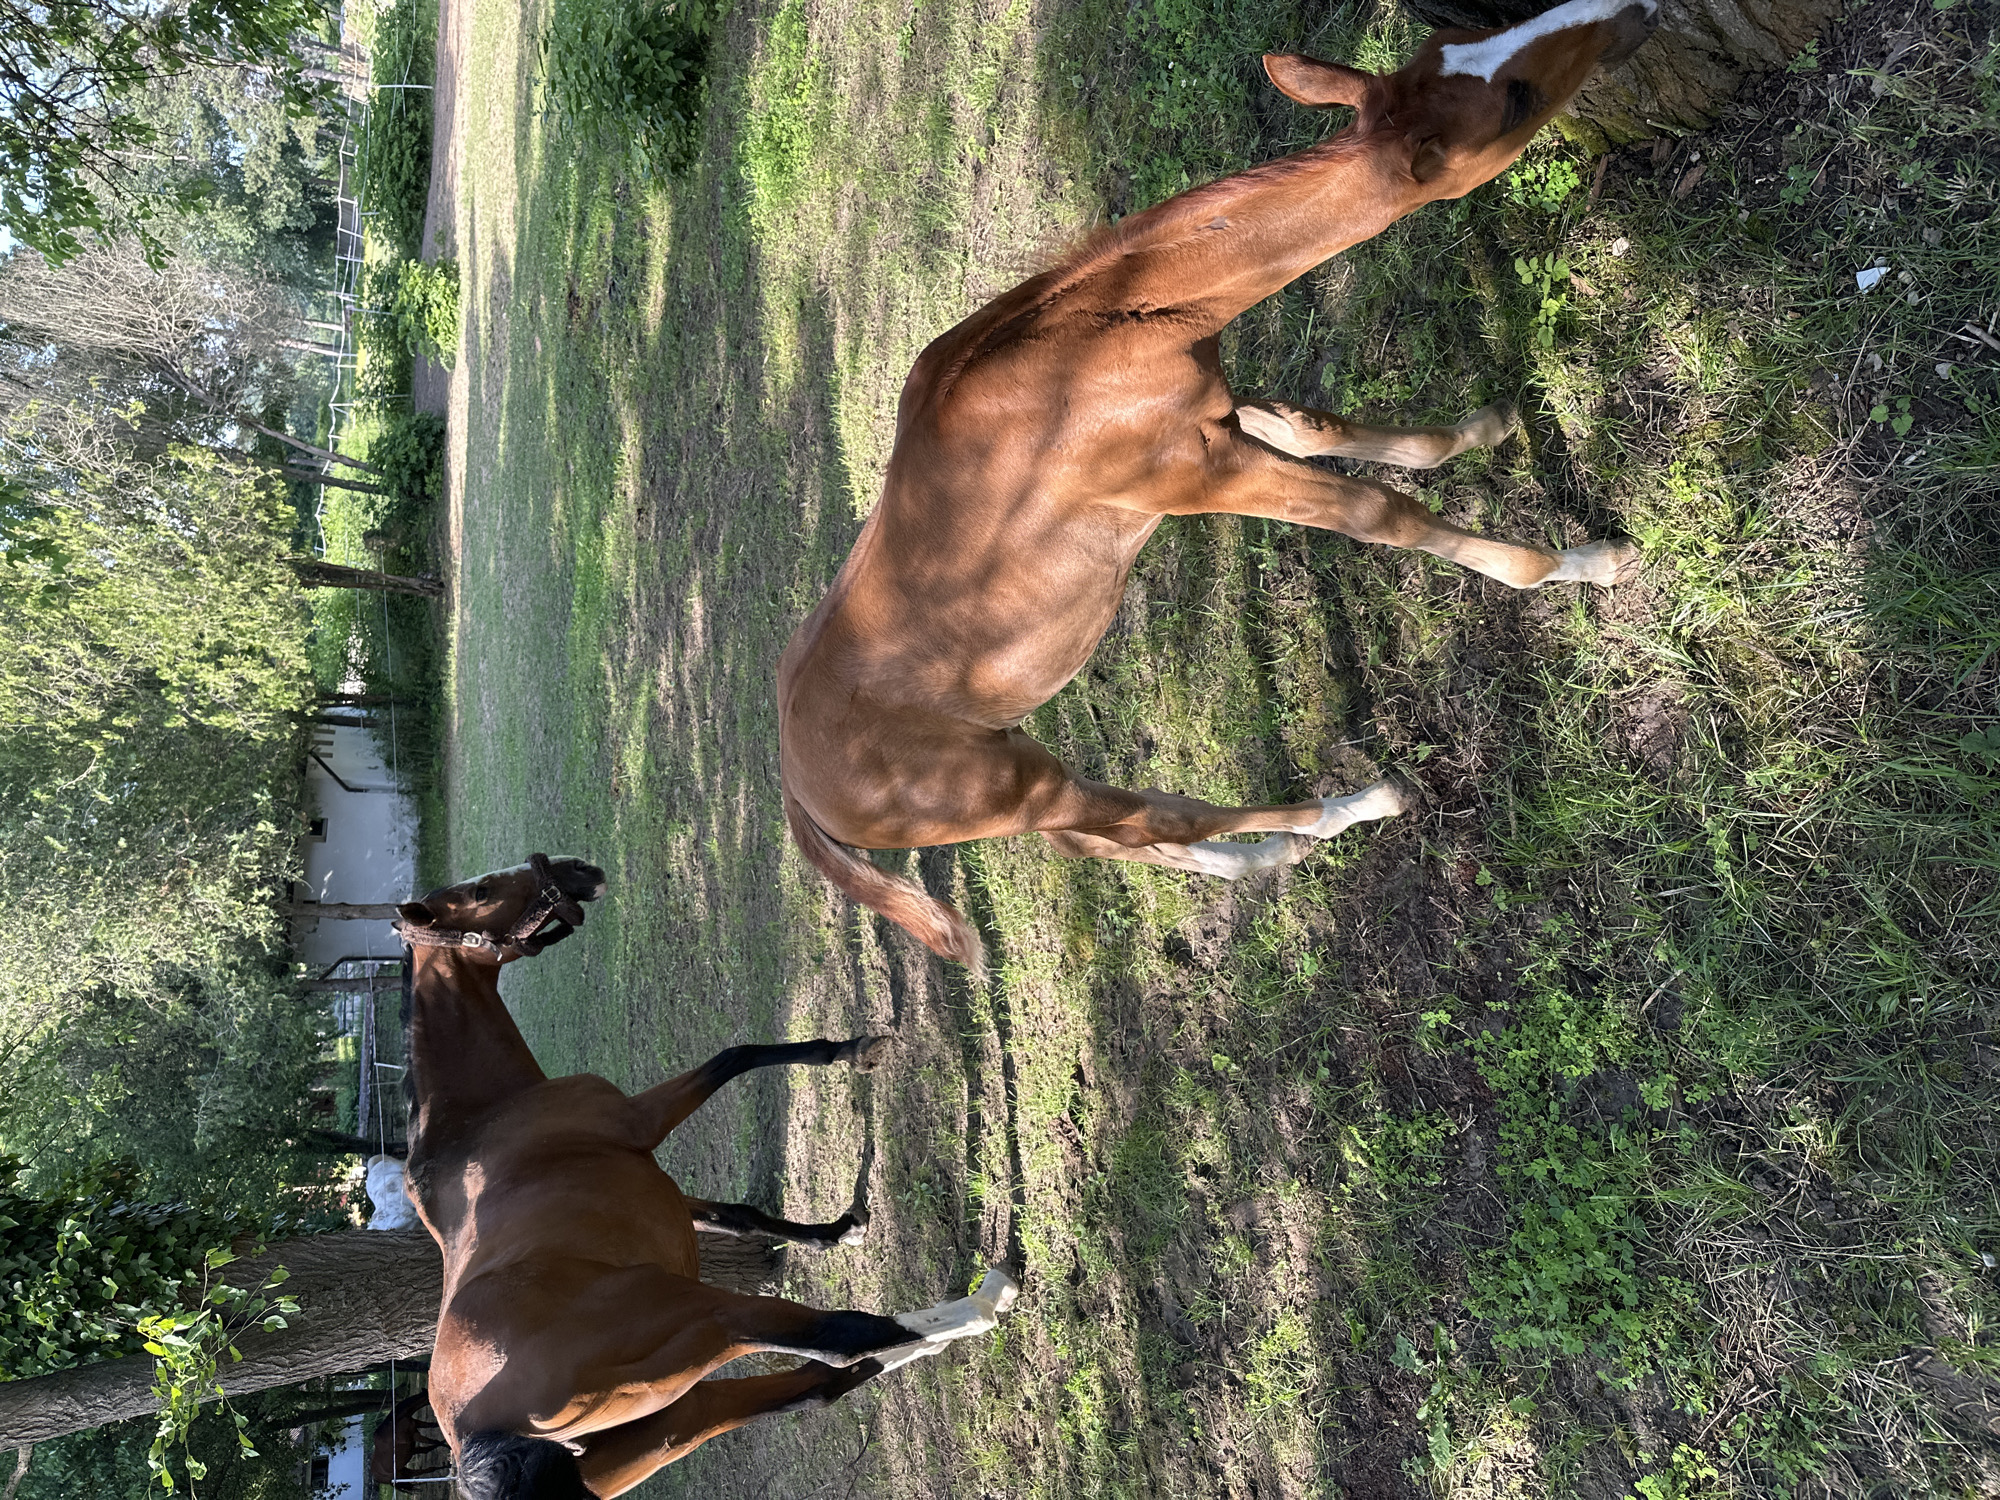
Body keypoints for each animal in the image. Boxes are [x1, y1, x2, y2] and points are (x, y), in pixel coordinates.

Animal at [393, 855, 1017, 1498]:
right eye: (482, 890)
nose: (575, 868)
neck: (482, 1114)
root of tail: (472, 1437)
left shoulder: (659, 1181)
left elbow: (737, 1216)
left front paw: (839, 1231)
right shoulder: (641, 1120)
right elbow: (736, 1056)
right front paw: (856, 1049)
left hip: (678, 1417)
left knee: (821, 1383)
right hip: (707, 1320)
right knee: (843, 1342)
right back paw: (989, 1296)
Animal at [777, 0, 1659, 970]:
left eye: (1462, 39)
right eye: (1516, 100)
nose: (1629, 14)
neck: (1101, 328)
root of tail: (796, 795)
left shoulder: (1220, 409)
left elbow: (1322, 427)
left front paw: (1485, 427)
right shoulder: (1193, 475)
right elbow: (1377, 511)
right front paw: (1582, 563)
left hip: (1019, 768)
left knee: (1112, 838)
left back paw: (1272, 859)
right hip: (1015, 784)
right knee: (1149, 819)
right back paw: (1349, 808)